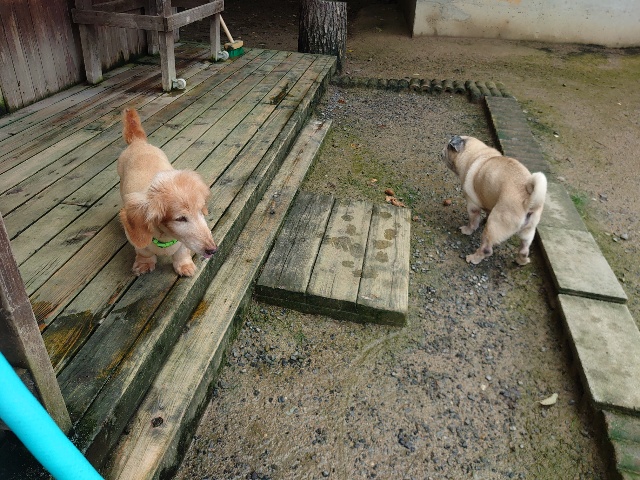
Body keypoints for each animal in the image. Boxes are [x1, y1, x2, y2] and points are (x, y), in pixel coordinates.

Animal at [117, 108, 217, 276]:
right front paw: (144, 264)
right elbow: (144, 252)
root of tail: (138, 142)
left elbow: (181, 253)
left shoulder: (182, 245)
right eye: (180, 219)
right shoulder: (136, 241)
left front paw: (184, 266)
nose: (212, 250)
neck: (166, 238)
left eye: (200, 211)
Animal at [442, 135, 547, 265]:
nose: (441, 151)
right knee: (524, 250)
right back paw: (521, 261)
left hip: (494, 225)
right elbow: (487, 212)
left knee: (487, 249)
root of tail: (528, 201)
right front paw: (483, 220)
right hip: (528, 232)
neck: (477, 154)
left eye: (447, 147)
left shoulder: (472, 205)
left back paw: (473, 258)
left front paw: (468, 230)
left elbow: (473, 221)